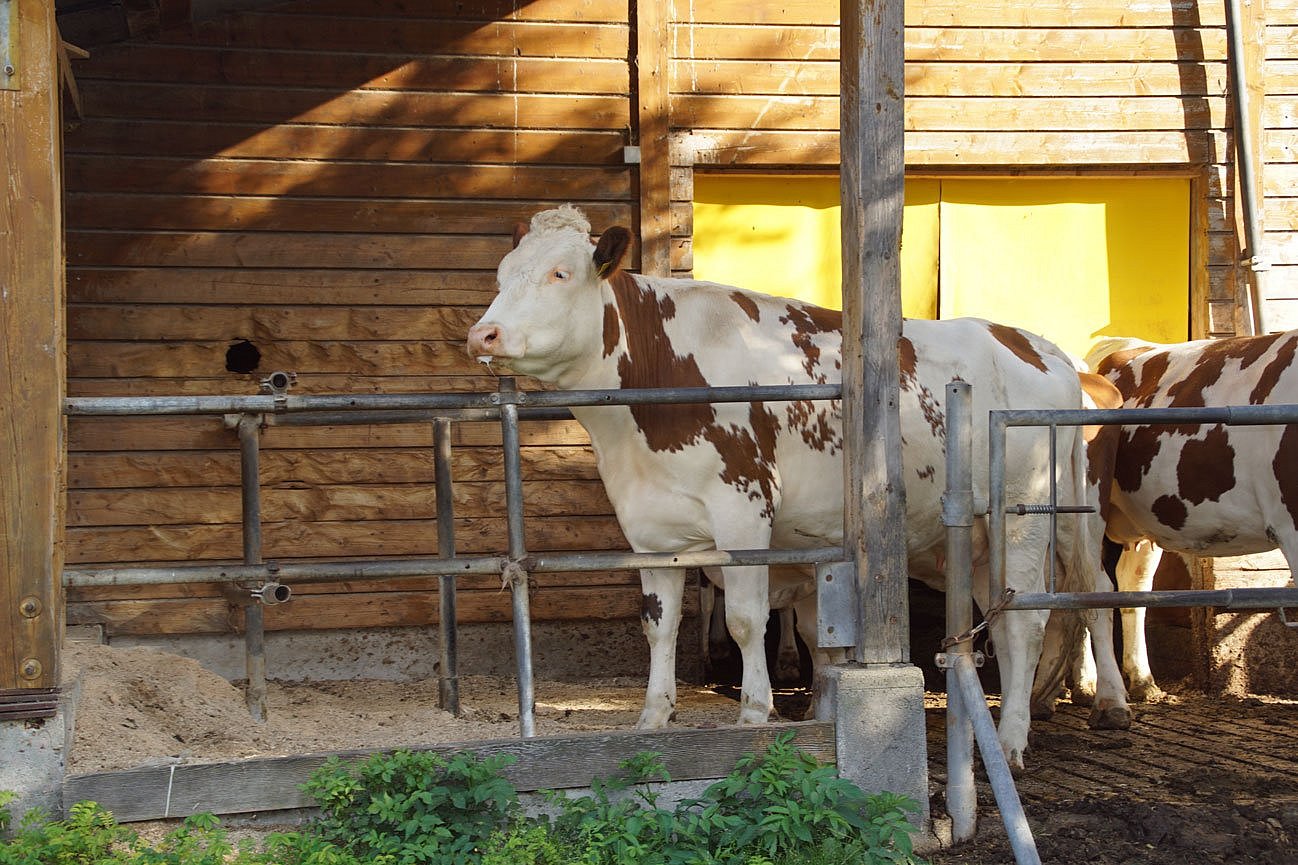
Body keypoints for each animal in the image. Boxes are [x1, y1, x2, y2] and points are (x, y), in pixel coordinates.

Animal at [467, 205, 1126, 763]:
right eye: (501, 275)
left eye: (560, 273)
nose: (483, 335)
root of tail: (1038, 347)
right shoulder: (649, 527)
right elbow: (660, 625)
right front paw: (653, 720)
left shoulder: (744, 509)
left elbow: (745, 620)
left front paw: (754, 715)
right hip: (988, 536)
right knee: (1005, 615)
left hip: (1026, 514)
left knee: (1032, 618)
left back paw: (1013, 738)